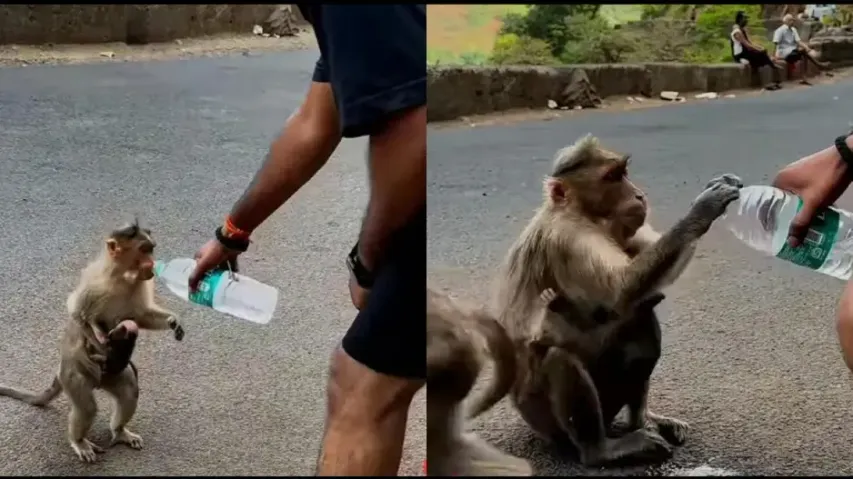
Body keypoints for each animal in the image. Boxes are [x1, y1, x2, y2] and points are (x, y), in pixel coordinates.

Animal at [0, 221, 184, 463]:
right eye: (144, 250)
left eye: (151, 249)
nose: (152, 262)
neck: (121, 276)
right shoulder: (94, 284)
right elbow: (79, 315)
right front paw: (100, 344)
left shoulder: (140, 284)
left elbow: (141, 316)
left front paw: (174, 321)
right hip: (73, 375)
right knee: (86, 407)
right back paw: (79, 441)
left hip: (111, 377)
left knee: (128, 390)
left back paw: (119, 431)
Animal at [494, 134, 743, 466]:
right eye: (612, 177)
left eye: (623, 173)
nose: (638, 195)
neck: (580, 213)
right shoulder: (570, 237)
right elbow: (621, 289)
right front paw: (703, 209)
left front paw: (714, 188)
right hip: (544, 419)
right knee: (562, 357)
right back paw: (600, 450)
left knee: (642, 319)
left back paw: (642, 422)